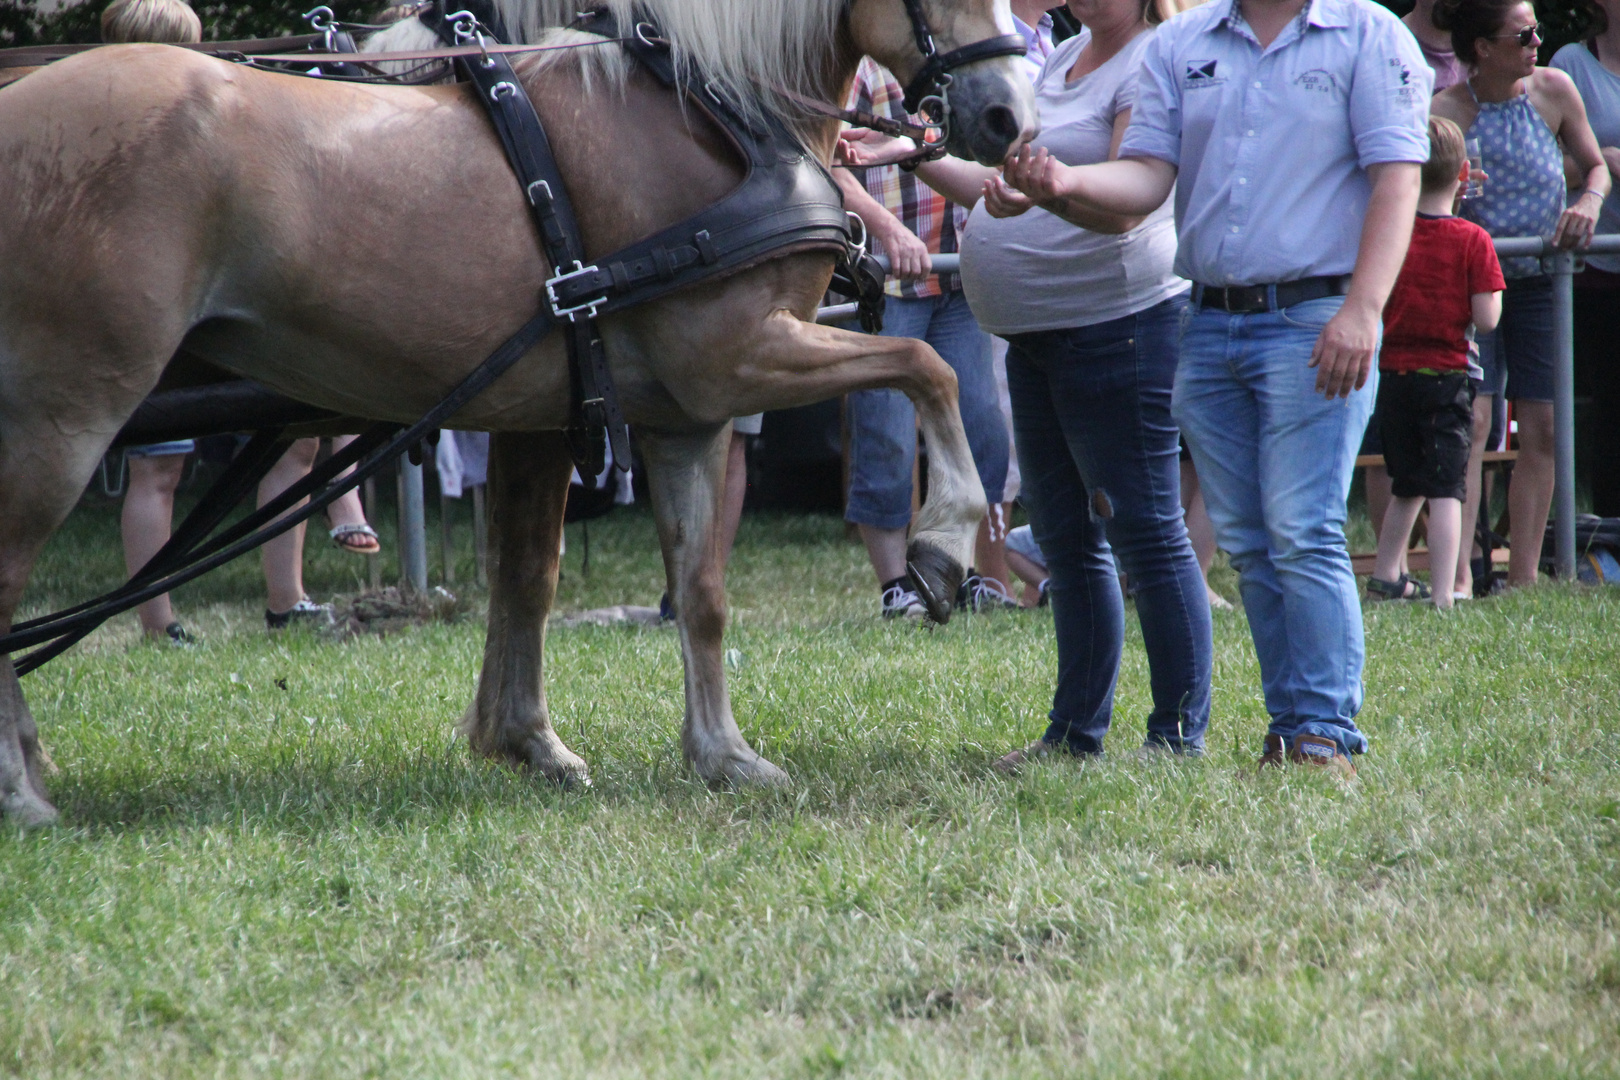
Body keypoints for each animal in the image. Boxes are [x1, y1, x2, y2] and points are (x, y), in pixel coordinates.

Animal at [0, 0, 1036, 829]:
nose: (1009, 118)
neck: (709, 116)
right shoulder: (742, 354)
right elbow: (927, 367)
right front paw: (940, 548)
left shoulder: (668, 413)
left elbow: (652, 586)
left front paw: (705, 755)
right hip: (66, 415)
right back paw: (22, 795)